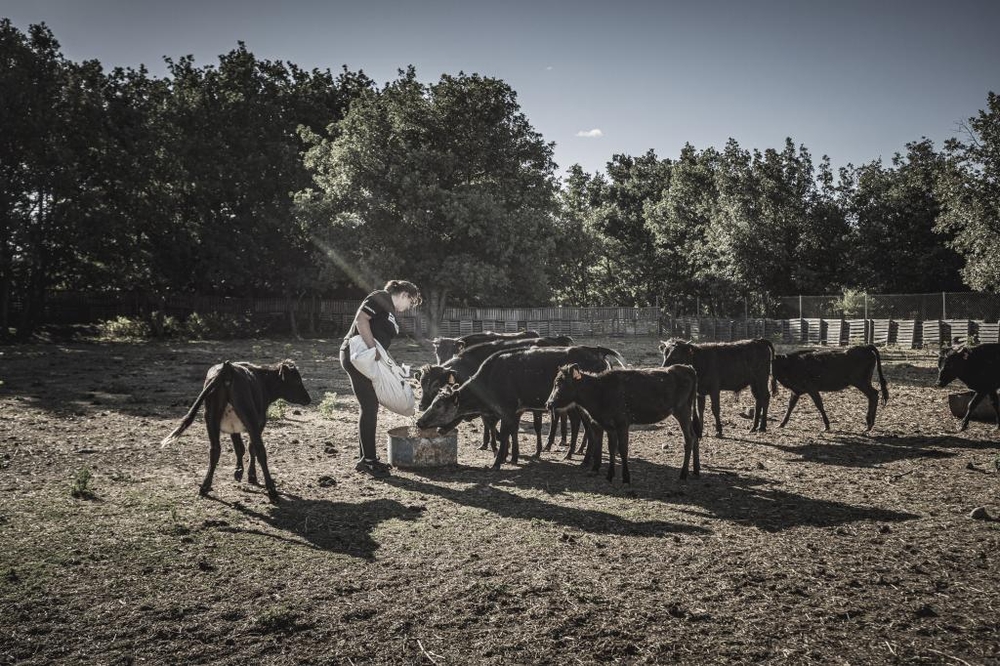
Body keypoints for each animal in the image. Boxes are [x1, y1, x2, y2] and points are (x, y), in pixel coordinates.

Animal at [160, 358, 310, 498]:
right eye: (297, 381)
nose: (308, 399)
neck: (263, 381)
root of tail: (228, 368)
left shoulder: (233, 428)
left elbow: (239, 448)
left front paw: (238, 471)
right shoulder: (259, 423)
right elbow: (250, 447)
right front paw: (250, 475)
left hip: (211, 418)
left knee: (214, 450)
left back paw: (205, 486)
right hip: (249, 417)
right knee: (260, 450)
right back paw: (271, 489)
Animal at [414, 348, 616, 466]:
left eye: (439, 404)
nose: (420, 421)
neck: (490, 378)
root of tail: (601, 358)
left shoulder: (507, 409)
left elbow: (504, 434)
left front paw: (497, 462)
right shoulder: (514, 412)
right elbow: (512, 431)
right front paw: (512, 456)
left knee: (589, 428)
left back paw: (583, 458)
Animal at [544, 364, 700, 482]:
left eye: (559, 383)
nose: (548, 403)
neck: (600, 391)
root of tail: (688, 368)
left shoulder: (622, 424)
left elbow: (623, 449)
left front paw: (625, 477)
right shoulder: (607, 426)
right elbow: (610, 448)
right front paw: (609, 474)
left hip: (682, 411)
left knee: (689, 439)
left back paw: (683, 474)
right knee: (695, 436)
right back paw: (696, 471)